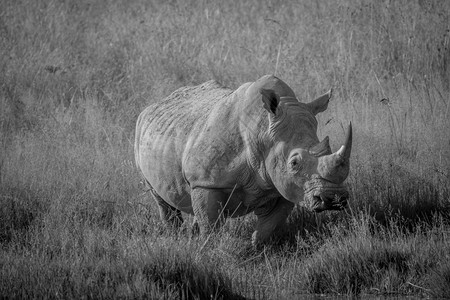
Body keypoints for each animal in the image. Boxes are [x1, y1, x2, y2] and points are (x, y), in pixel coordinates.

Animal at [134, 75, 352, 246]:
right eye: (294, 163)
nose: (333, 198)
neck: (263, 134)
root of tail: (156, 103)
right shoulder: (205, 182)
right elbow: (211, 227)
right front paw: (211, 251)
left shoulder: (285, 187)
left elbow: (268, 228)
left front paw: (257, 250)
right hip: (140, 133)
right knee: (161, 199)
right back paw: (175, 236)